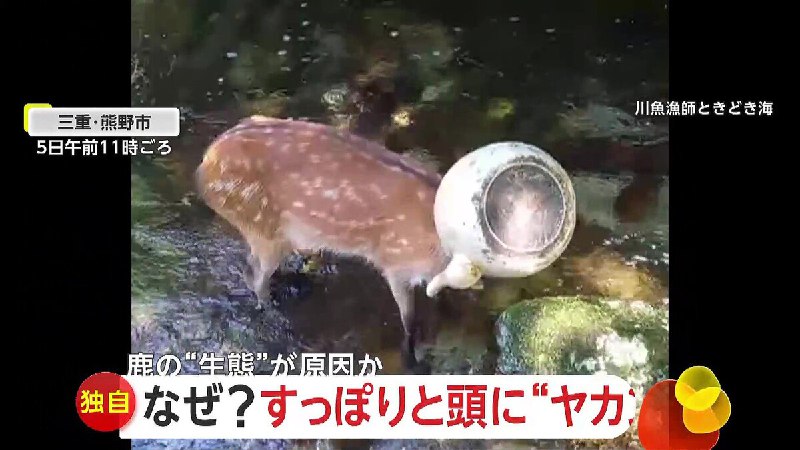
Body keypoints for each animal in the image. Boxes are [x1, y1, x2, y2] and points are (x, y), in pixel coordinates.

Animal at [195, 115, 458, 372]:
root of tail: (204, 165)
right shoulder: (395, 262)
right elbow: (409, 319)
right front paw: (413, 359)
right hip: (261, 226)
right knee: (256, 277)